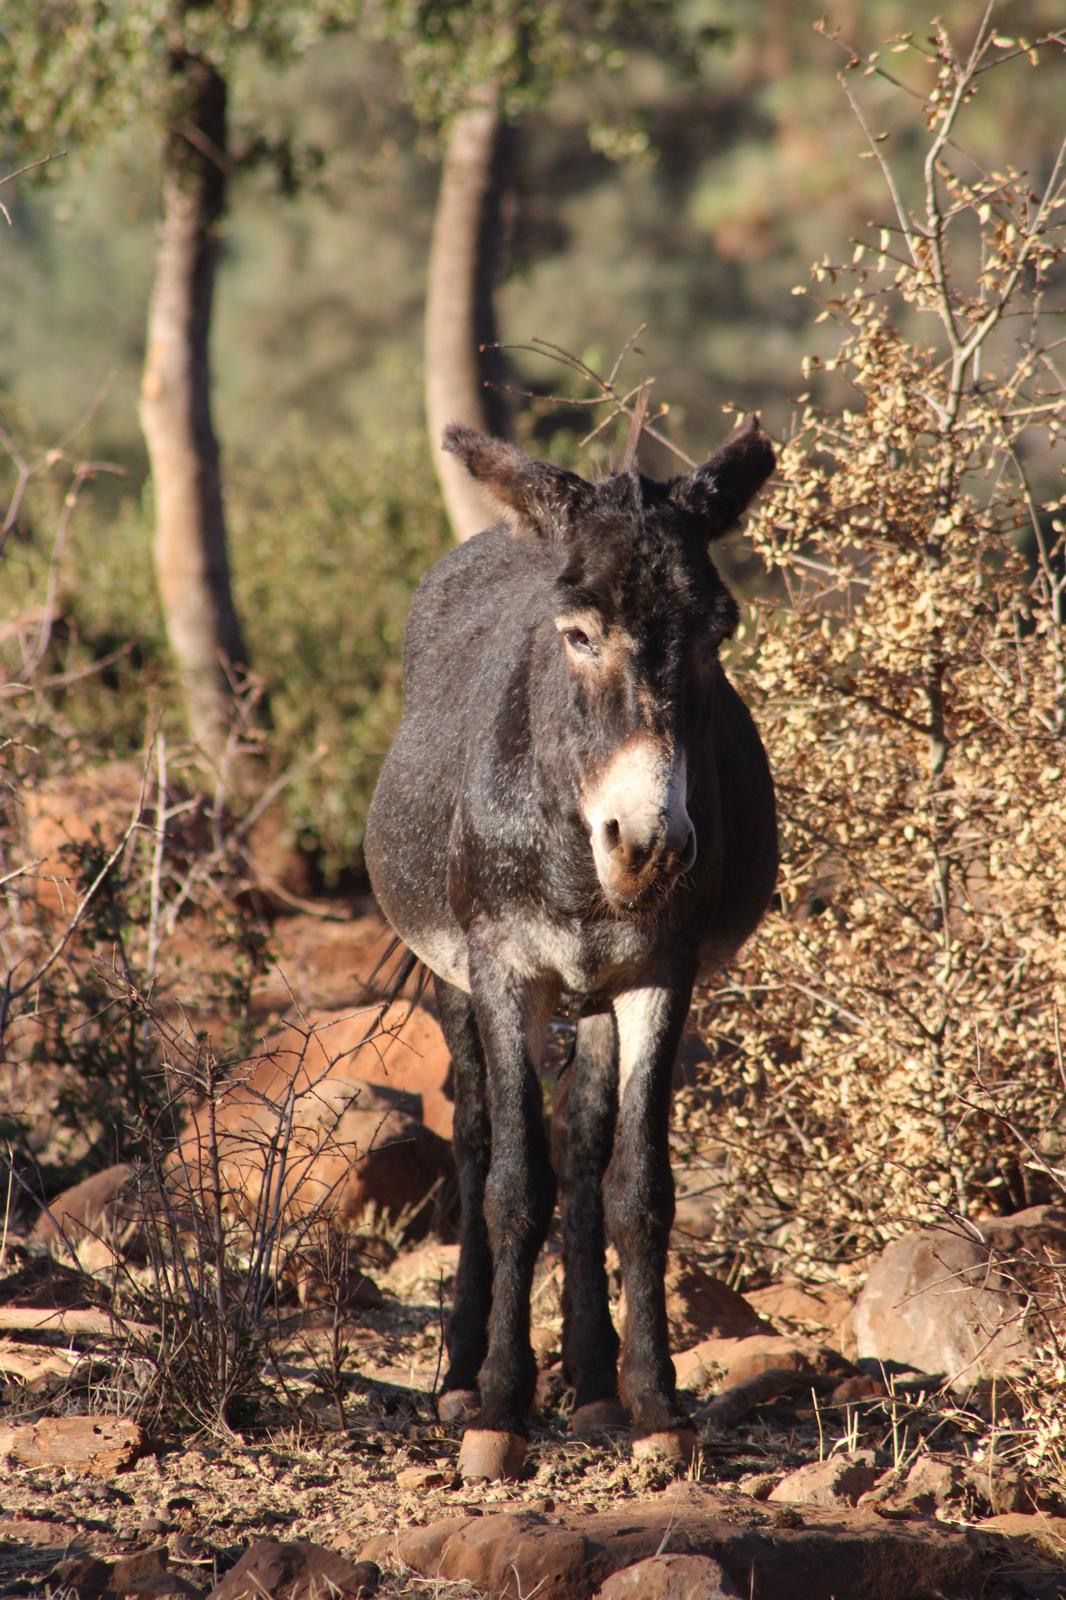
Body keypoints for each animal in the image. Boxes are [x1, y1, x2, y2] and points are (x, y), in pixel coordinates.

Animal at [364, 415, 777, 1480]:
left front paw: (658, 1408)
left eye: (717, 634)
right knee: (476, 1142)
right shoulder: (505, 970)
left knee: (586, 1149)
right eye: (578, 635)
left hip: (597, 995)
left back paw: (592, 1386)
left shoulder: (660, 976)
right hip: (454, 979)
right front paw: (500, 1412)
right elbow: (515, 1185)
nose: (650, 847)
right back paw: (460, 1376)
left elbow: (639, 1187)